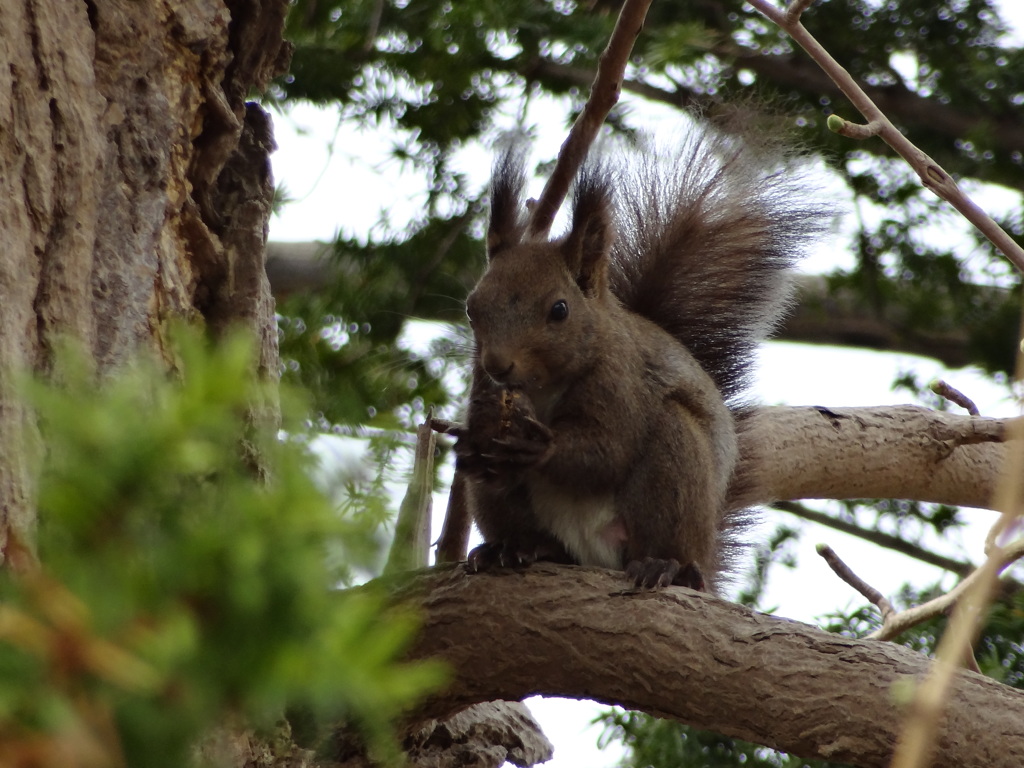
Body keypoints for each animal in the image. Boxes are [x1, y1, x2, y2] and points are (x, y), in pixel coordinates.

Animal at [452, 120, 827, 593]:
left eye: (559, 309)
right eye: (472, 307)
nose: (497, 365)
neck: (542, 387)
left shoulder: (622, 381)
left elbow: (607, 451)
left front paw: (538, 444)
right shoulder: (484, 391)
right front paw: (470, 448)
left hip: (673, 469)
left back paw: (663, 565)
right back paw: (517, 547)